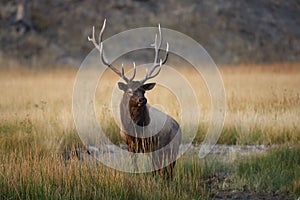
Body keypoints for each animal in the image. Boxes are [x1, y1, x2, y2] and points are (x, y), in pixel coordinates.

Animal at [88, 19, 182, 180]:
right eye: (130, 90)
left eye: (144, 90)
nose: (142, 100)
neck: (135, 130)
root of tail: (178, 126)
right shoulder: (129, 145)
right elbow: (135, 166)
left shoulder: (151, 144)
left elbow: (153, 170)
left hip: (172, 148)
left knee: (168, 170)